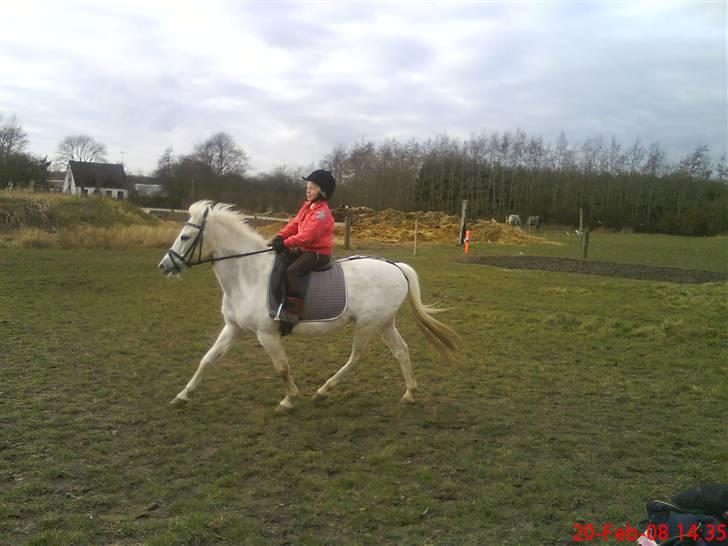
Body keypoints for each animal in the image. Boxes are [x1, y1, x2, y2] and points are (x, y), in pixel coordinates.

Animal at [158, 202, 460, 410]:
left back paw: (324, 390)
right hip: (384, 323)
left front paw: (289, 400)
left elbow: (282, 368)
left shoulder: (267, 335)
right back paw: (409, 393)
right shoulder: (233, 328)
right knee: (401, 351)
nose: (164, 266)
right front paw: (183, 395)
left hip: (367, 325)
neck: (248, 275)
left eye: (185, 237)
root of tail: (395, 266)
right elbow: (208, 359)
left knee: (357, 357)